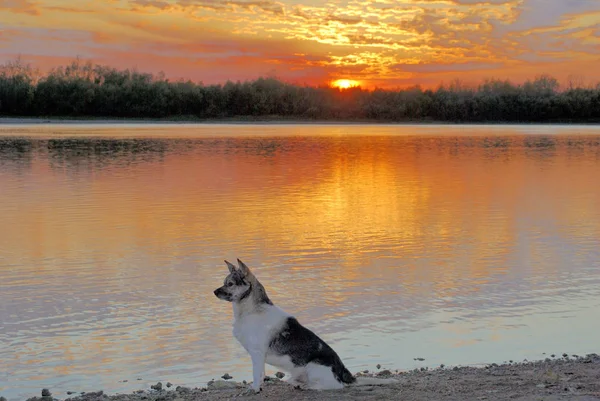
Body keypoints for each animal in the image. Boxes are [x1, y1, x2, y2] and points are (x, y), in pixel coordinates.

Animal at [213, 258, 396, 392]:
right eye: (224, 282)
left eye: (230, 284)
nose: (214, 292)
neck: (250, 311)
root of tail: (344, 371)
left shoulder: (257, 354)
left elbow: (257, 375)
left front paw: (255, 389)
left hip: (314, 368)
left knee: (333, 386)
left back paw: (309, 386)